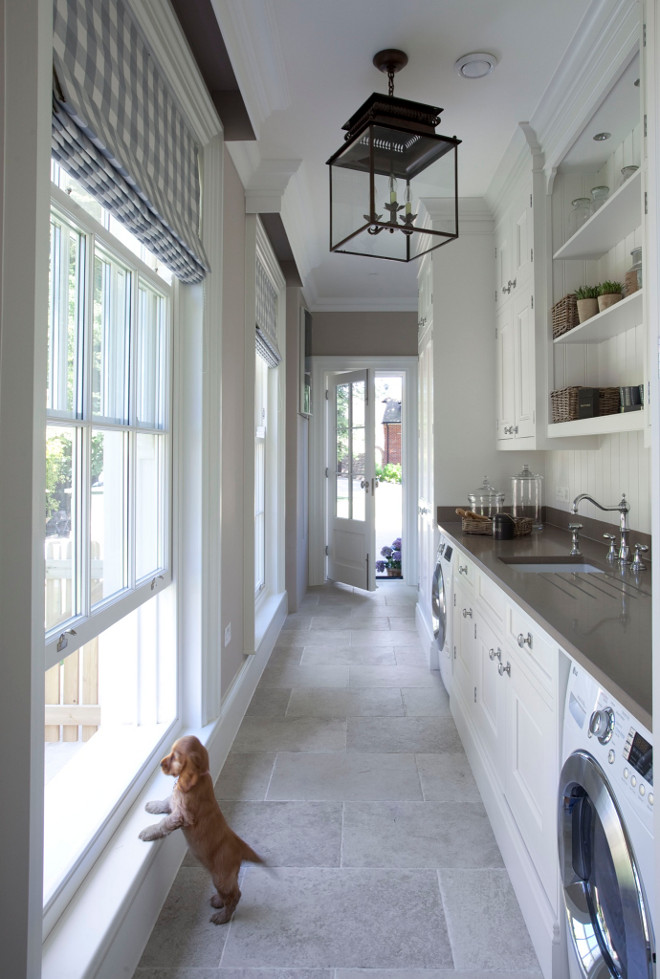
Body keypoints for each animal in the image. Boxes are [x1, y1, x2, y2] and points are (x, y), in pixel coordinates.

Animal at [138, 736, 264, 928]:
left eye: (174, 756)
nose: (160, 764)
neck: (200, 777)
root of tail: (240, 845)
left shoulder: (181, 816)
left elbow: (163, 824)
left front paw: (148, 831)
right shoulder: (175, 803)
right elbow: (166, 801)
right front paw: (153, 805)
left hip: (220, 876)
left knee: (235, 896)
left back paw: (222, 916)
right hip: (225, 876)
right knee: (234, 889)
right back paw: (218, 901)